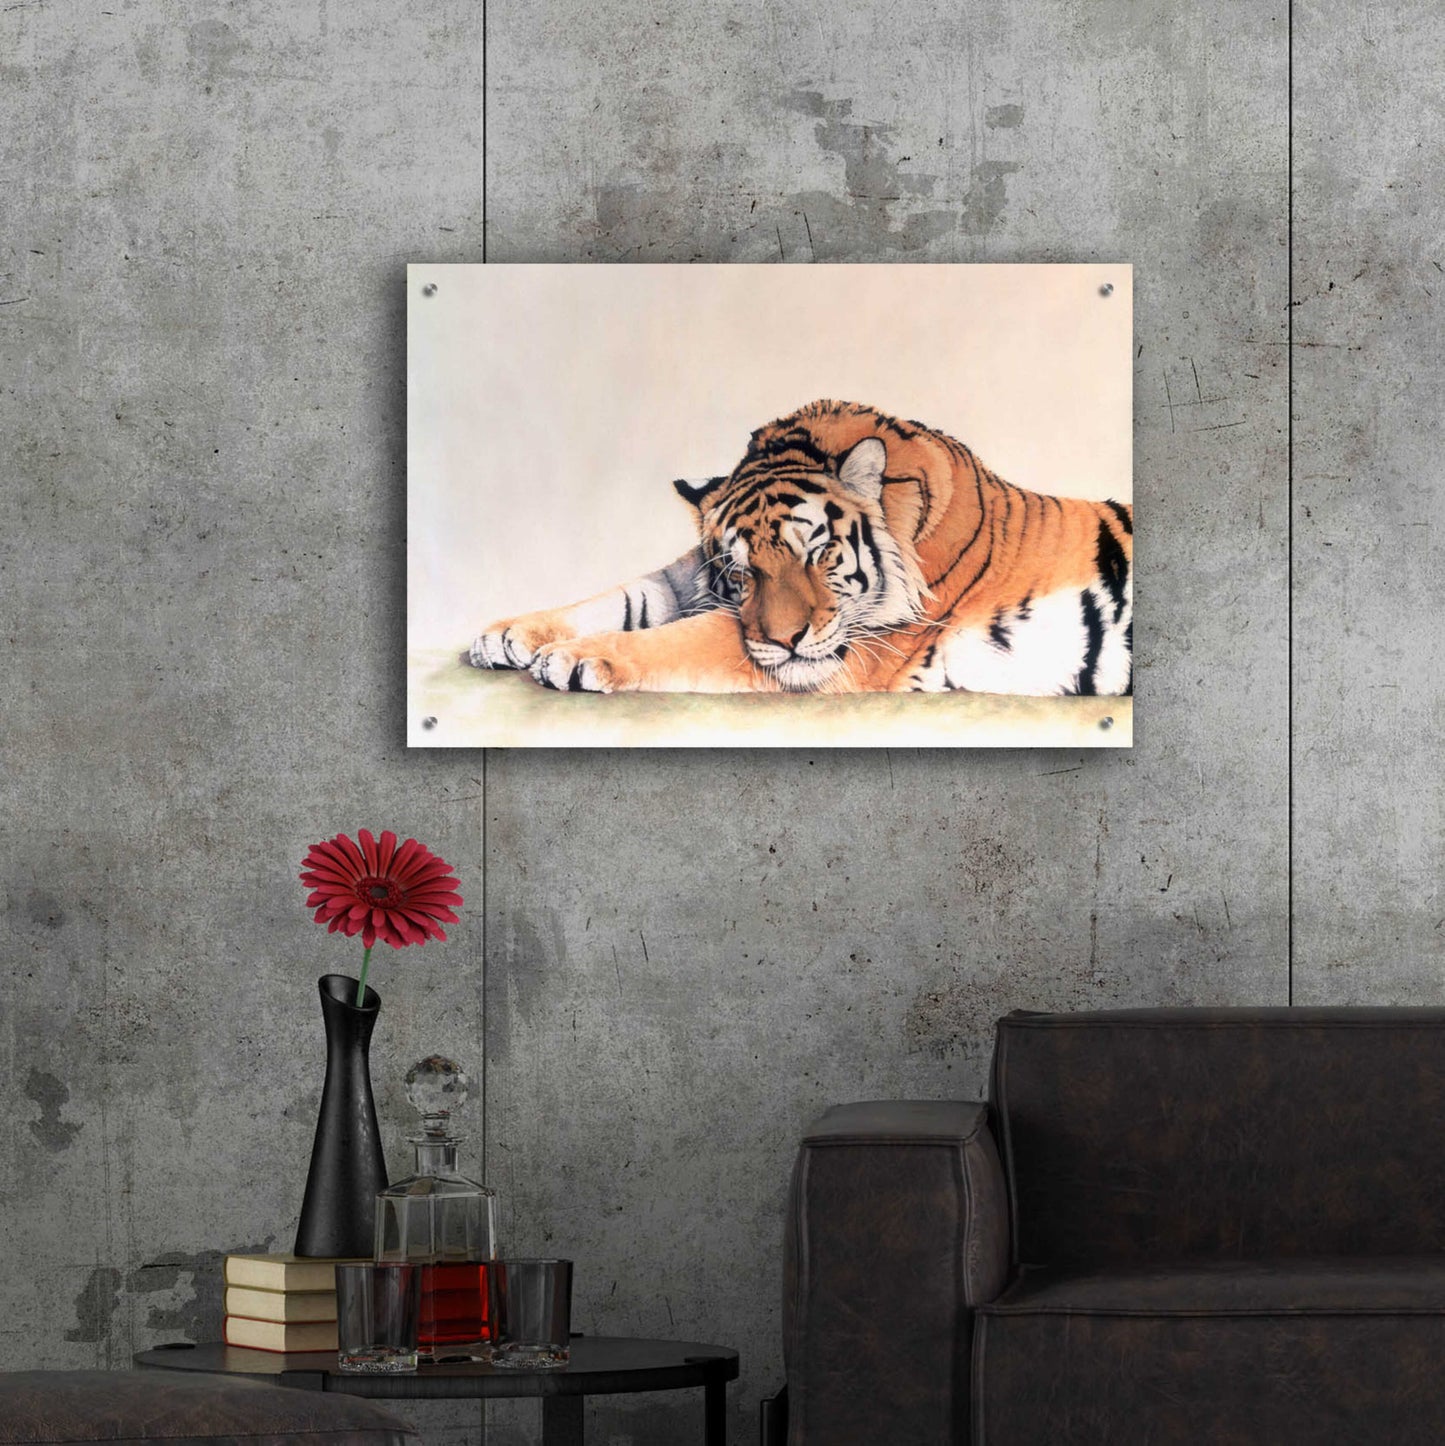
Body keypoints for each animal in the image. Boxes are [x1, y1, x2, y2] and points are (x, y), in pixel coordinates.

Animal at [466, 400, 1132, 697]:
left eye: (818, 553)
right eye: (741, 572)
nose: (787, 639)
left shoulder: (848, 652)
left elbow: (684, 637)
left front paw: (572, 659)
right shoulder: (690, 579)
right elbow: (620, 598)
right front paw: (503, 636)